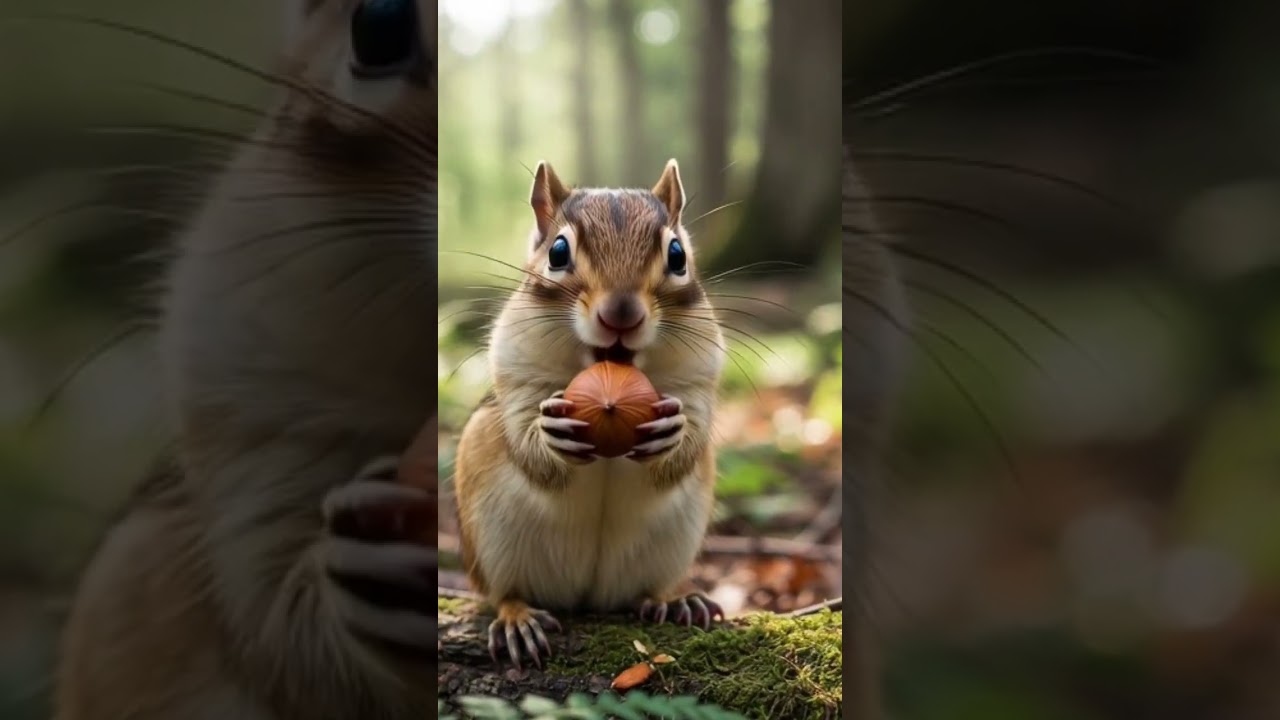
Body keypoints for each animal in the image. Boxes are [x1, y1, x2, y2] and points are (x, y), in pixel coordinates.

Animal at [450, 158, 727, 669]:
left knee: (647, 590)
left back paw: (675, 599)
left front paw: (674, 433)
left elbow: (693, 426)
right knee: (502, 593)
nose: (621, 313)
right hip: (489, 547)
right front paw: (549, 433)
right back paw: (518, 619)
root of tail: (586, 598)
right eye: (558, 252)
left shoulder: (699, 377)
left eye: (678, 255)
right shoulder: (515, 372)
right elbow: (525, 436)